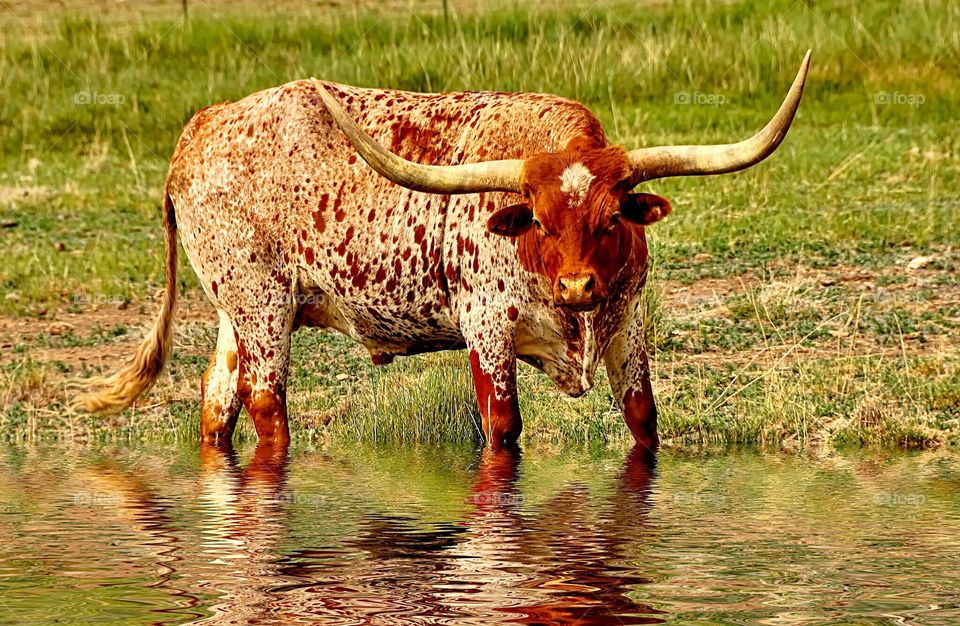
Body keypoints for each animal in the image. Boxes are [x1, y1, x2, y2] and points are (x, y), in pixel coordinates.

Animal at [78, 52, 810, 451]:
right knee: (266, 405)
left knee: (217, 401)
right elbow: (502, 426)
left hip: (237, 311)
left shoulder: (627, 320)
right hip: (262, 306)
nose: (577, 287)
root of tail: (201, 127)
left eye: (610, 219)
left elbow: (643, 418)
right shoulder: (487, 326)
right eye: (539, 220)